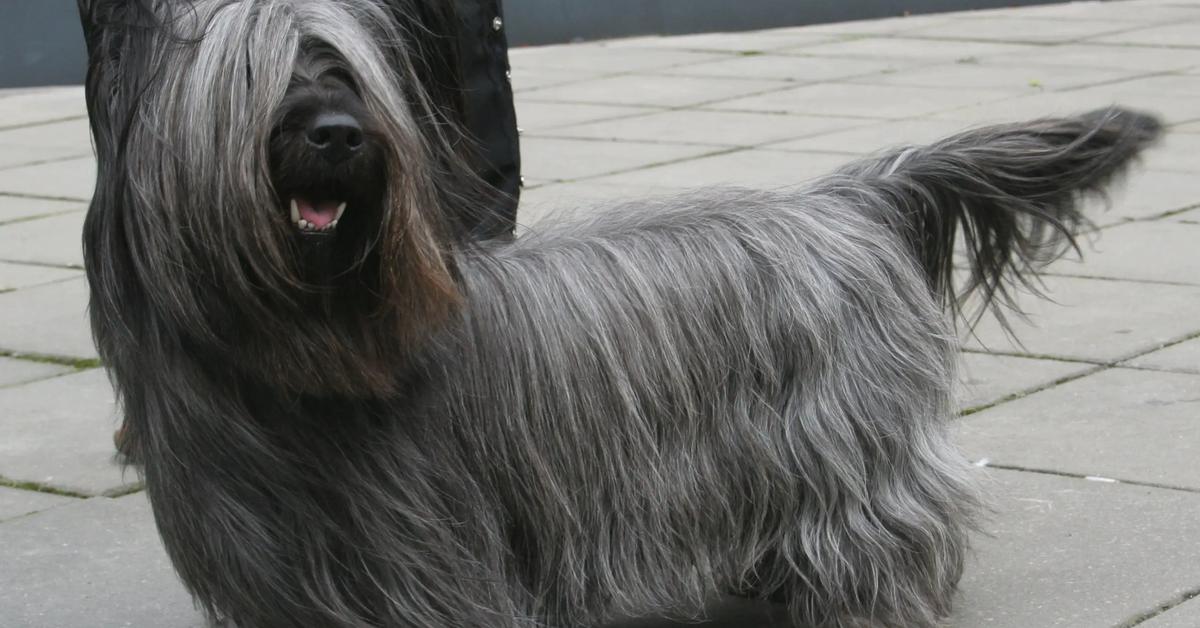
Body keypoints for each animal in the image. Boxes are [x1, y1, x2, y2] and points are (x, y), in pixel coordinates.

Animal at [77, 1, 1161, 628]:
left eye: (344, 70)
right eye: (252, 79)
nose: (342, 135)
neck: (300, 354)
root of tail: (843, 199)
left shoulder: (436, 560)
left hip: (848, 445)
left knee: (880, 532)